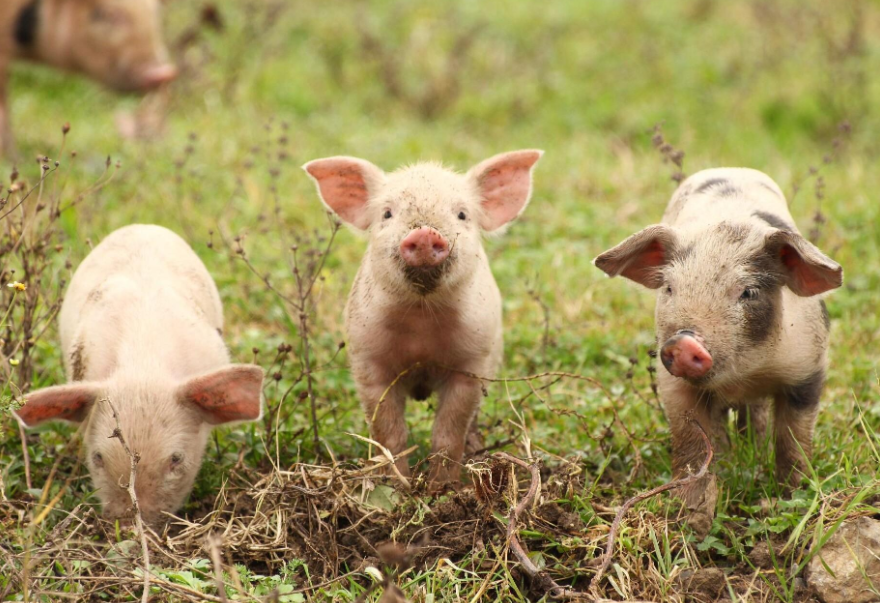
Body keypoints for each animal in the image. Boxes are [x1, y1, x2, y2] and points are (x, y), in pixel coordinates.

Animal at [308, 150, 544, 486]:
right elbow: (389, 433)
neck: (422, 323)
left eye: (462, 214)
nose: (423, 233)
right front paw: (397, 485)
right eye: (387, 214)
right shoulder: (368, 361)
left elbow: (448, 432)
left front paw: (442, 488)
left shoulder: (471, 364)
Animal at [596, 168, 844, 536]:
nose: (684, 341)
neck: (743, 373)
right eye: (669, 288)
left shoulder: (808, 368)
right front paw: (691, 515)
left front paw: (792, 496)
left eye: (749, 292)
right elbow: (692, 445)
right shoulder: (673, 384)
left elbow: (794, 440)